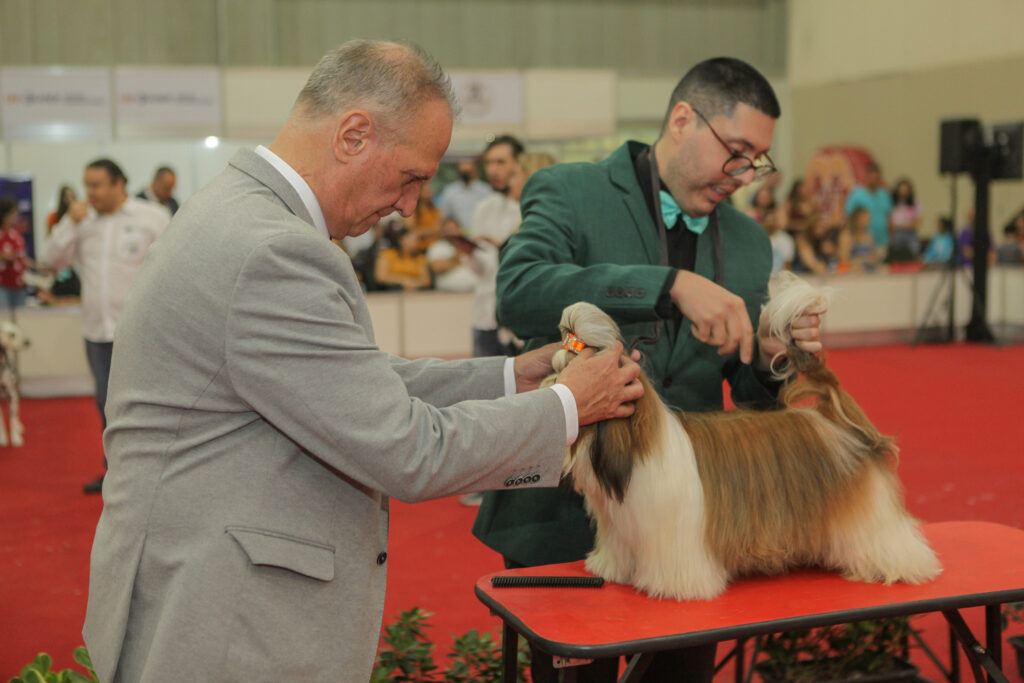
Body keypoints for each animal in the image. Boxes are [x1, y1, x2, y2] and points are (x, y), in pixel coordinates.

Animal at [557, 274, 937, 602]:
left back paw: (901, 565)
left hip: (866, 513)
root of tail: (831, 419)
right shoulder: (620, 528)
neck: (635, 446)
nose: (558, 387)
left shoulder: (673, 535)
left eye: (572, 369)